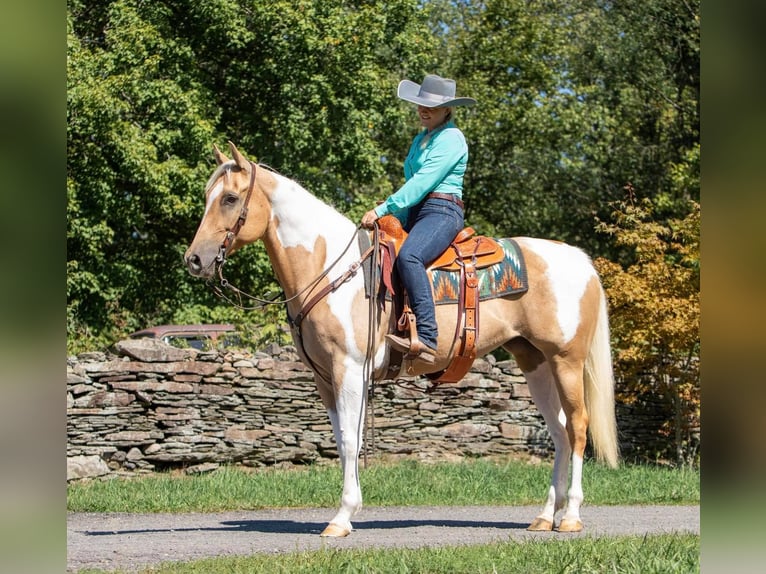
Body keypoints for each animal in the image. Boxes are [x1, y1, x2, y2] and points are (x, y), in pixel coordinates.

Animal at [188, 142, 624, 536]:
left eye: (229, 198)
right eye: (208, 196)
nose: (194, 260)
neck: (333, 269)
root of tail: (580, 260)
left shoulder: (350, 369)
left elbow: (351, 440)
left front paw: (342, 518)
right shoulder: (324, 377)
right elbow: (342, 439)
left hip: (566, 360)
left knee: (578, 427)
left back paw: (570, 516)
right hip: (534, 361)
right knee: (560, 432)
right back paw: (544, 517)